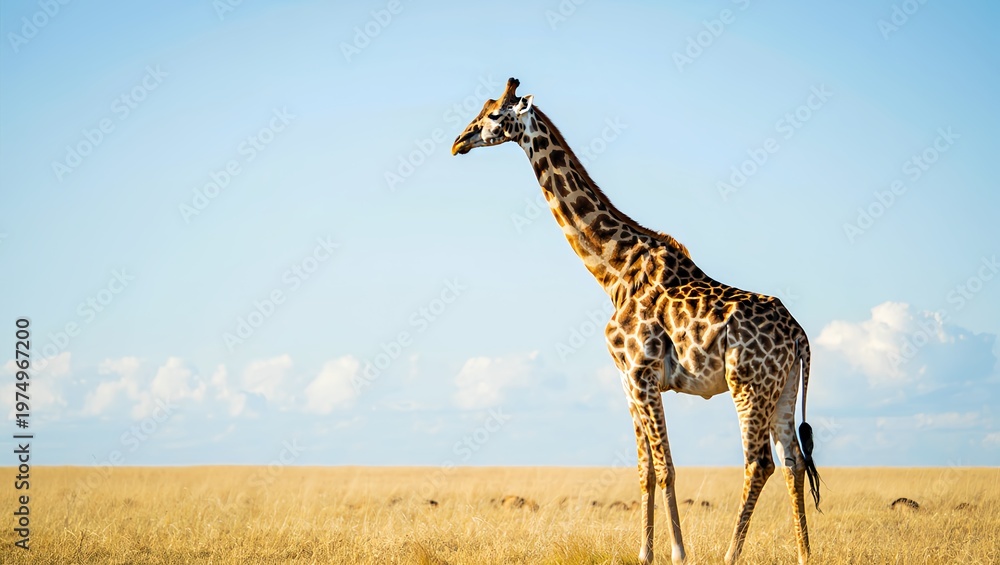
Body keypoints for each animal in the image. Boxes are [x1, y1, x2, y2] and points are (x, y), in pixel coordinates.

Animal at [452, 78, 820, 565]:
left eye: (495, 115)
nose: (458, 142)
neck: (613, 270)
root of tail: (800, 336)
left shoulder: (643, 373)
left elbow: (666, 468)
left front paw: (678, 553)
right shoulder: (627, 380)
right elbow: (644, 470)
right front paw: (644, 553)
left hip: (748, 383)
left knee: (759, 461)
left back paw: (730, 554)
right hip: (784, 386)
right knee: (793, 461)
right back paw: (804, 554)